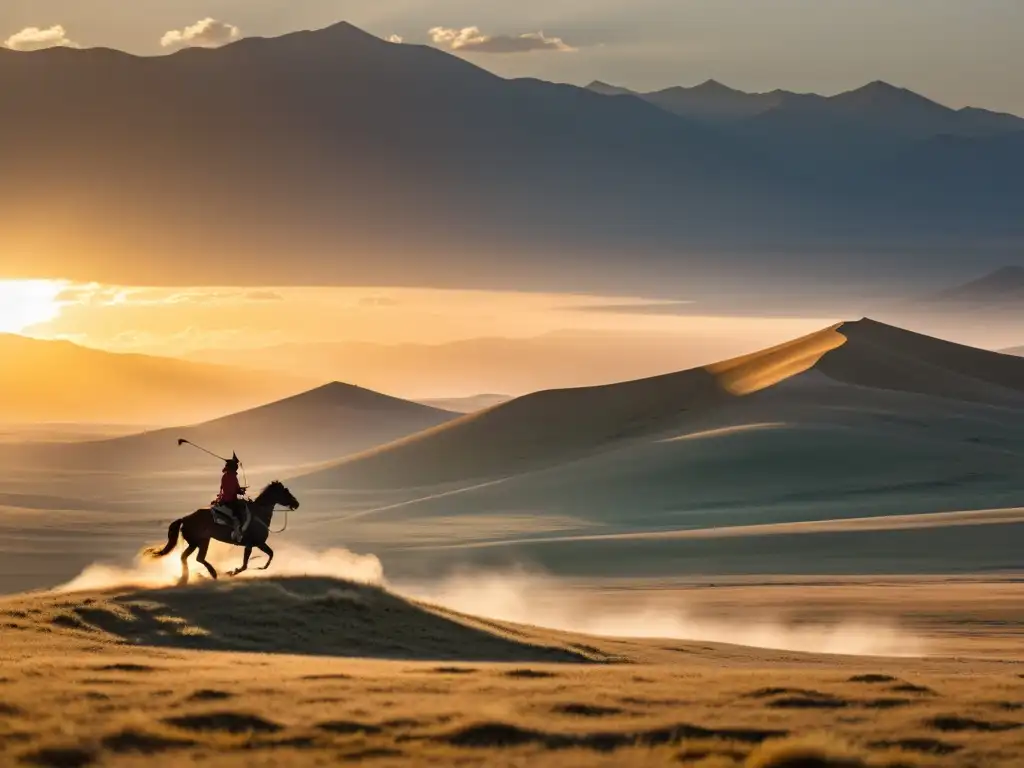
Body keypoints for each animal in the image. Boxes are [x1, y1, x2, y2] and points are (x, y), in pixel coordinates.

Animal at [146, 483, 301, 585]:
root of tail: (185, 518)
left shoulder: (258, 544)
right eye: (286, 492)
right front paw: (231, 572)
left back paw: (186, 578)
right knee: (199, 558)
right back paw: (212, 573)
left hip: (195, 543)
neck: (259, 513)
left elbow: (270, 554)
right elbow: (246, 565)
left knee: (185, 557)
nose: (296, 504)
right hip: (203, 541)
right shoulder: (253, 544)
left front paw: (259, 567)